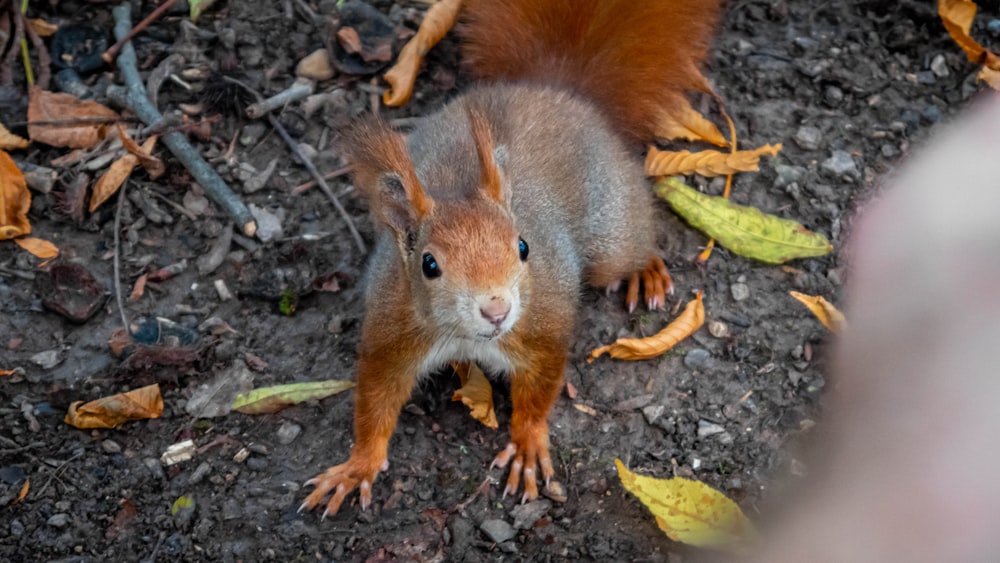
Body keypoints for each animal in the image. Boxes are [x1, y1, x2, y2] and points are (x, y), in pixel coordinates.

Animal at [300, 0, 724, 516]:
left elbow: (540, 388)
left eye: (523, 247)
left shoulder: (542, 324)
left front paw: (525, 444)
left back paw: (646, 270)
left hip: (611, 230)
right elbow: (376, 398)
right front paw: (357, 465)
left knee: (635, 237)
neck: (464, 336)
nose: (497, 309)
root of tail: (557, 91)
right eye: (429, 265)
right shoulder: (392, 330)